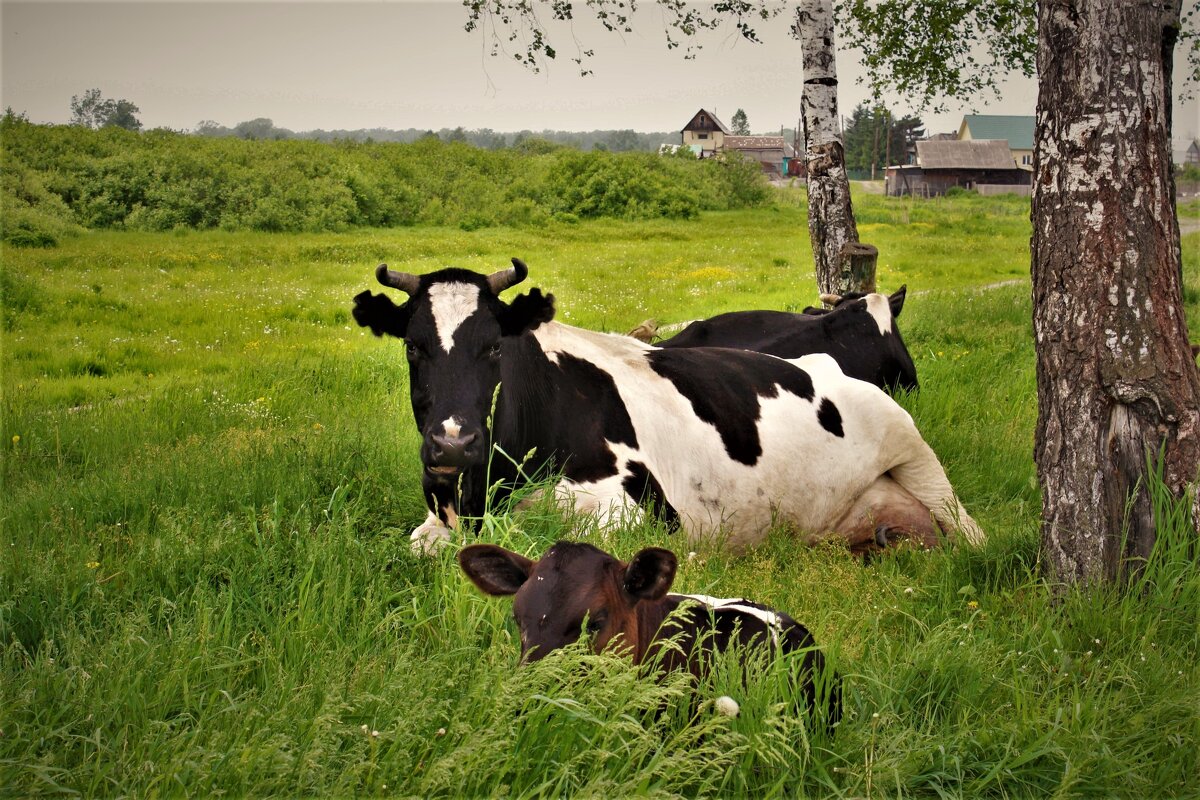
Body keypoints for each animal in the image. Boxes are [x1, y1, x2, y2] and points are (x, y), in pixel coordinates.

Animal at [350, 260, 984, 554]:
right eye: (413, 345)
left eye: (493, 346)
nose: (452, 442)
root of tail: (823, 362)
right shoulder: (437, 517)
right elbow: (419, 545)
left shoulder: (644, 509)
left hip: (916, 453)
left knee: (968, 529)